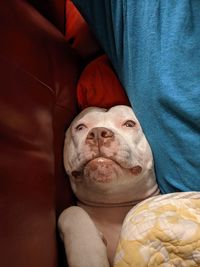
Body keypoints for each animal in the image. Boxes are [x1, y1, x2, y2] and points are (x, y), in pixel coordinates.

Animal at [58, 105, 159, 267]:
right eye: (80, 127)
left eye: (129, 124)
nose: (98, 133)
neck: (112, 205)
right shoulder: (72, 213)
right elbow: (70, 211)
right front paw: (88, 255)